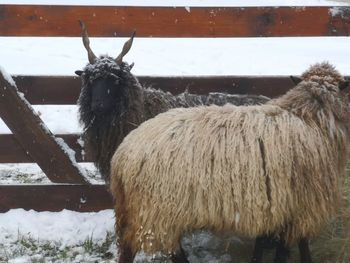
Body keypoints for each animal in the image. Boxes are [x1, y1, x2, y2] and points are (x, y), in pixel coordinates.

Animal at [110, 61, 350, 262]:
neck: (309, 116)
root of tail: (121, 155)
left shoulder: (274, 204)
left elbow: (267, 243)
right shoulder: (300, 205)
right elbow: (293, 246)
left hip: (138, 212)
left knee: (129, 248)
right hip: (157, 211)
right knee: (170, 252)